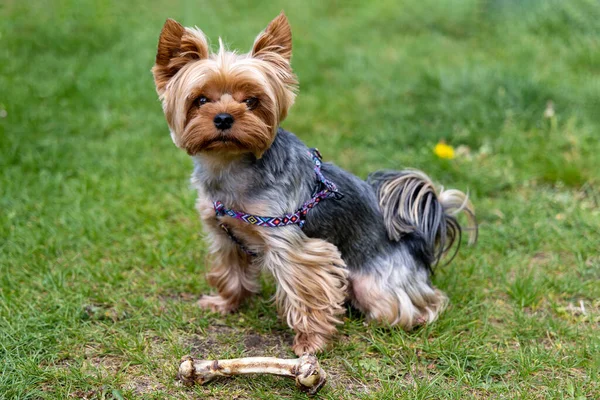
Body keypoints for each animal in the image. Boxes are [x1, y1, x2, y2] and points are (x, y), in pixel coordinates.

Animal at [154, 13, 478, 356]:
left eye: (252, 101)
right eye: (200, 99)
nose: (224, 118)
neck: (230, 164)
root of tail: (417, 240)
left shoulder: (291, 245)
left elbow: (307, 294)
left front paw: (310, 342)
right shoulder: (223, 233)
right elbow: (230, 271)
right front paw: (225, 302)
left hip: (374, 283)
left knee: (422, 303)